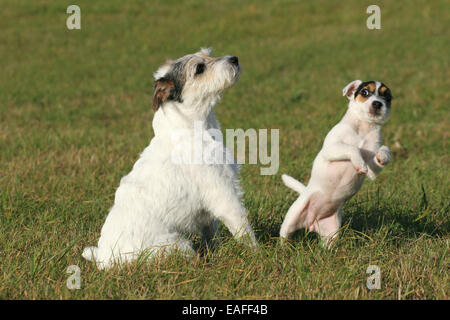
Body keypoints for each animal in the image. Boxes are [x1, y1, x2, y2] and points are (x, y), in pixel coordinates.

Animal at [280, 80, 392, 248]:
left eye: (386, 97)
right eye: (365, 92)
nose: (378, 103)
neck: (362, 129)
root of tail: (310, 222)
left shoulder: (373, 169)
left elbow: (382, 151)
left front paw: (384, 155)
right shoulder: (331, 148)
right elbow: (352, 148)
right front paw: (359, 163)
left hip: (331, 232)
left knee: (327, 244)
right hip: (291, 218)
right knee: (284, 235)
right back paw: (283, 248)